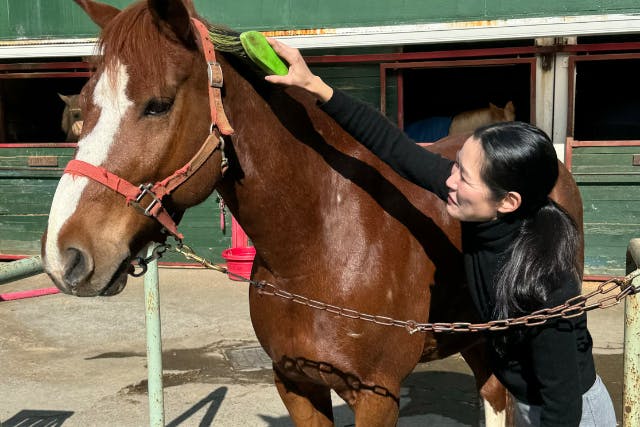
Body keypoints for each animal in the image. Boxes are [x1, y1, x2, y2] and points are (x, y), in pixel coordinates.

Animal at [38, 1, 580, 426]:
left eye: (158, 104)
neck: (319, 245)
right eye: (83, 110)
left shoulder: (377, 397)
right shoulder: (296, 385)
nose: (66, 256)